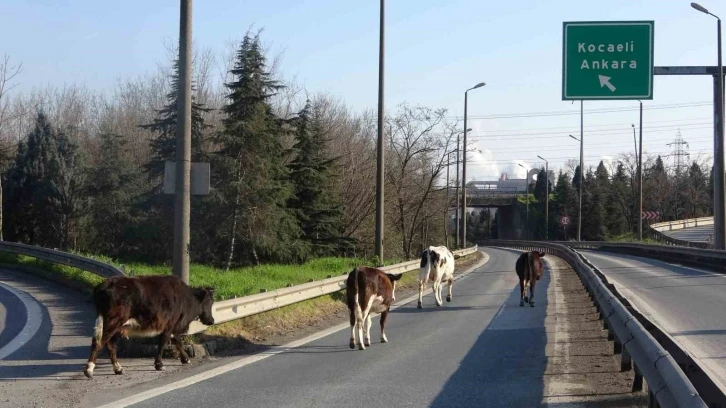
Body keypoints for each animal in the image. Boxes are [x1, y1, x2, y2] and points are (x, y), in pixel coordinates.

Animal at [85, 274, 215, 380]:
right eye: (209, 302)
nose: (212, 320)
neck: (186, 298)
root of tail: (104, 285)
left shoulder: (172, 326)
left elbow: (178, 341)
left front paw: (185, 359)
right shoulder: (169, 325)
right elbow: (163, 343)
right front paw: (159, 365)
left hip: (113, 325)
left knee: (110, 345)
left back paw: (118, 369)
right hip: (113, 322)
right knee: (99, 342)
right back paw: (89, 369)